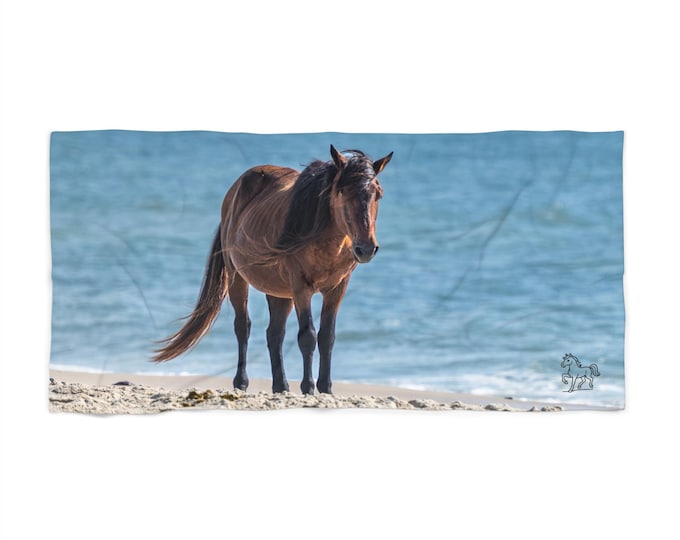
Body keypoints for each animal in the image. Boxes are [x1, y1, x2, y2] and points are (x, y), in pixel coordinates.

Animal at [153, 145, 393, 395]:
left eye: (378, 193)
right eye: (343, 191)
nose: (366, 249)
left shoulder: (337, 289)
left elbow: (327, 336)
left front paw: (326, 389)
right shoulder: (301, 288)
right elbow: (307, 336)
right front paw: (308, 388)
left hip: (278, 291)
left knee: (274, 334)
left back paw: (281, 386)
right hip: (238, 278)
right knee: (243, 327)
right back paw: (242, 382)